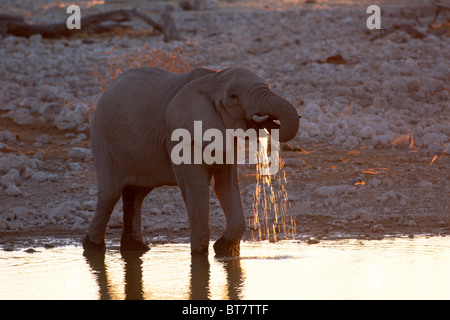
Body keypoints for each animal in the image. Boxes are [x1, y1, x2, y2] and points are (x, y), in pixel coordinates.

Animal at [82, 67, 300, 258]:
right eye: (233, 97)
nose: (269, 121)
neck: (212, 80)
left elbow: (226, 185)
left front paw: (224, 249)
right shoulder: (180, 136)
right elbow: (197, 188)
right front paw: (200, 257)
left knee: (136, 193)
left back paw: (136, 249)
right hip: (102, 137)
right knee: (110, 194)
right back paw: (92, 248)